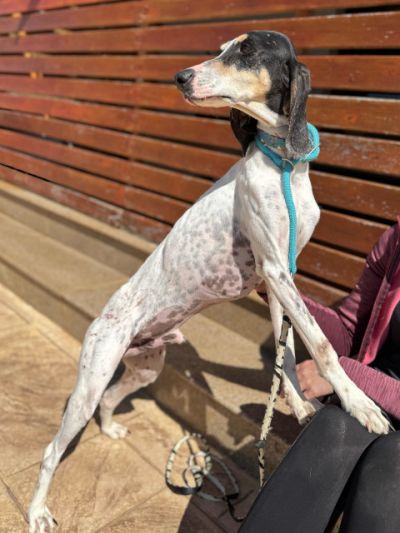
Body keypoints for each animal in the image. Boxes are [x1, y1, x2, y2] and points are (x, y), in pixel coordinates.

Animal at [28, 31, 390, 532]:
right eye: (222, 49)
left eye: (246, 51)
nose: (180, 76)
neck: (283, 164)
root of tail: (104, 317)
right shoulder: (275, 269)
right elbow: (320, 345)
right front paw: (360, 405)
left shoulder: (277, 276)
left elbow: (289, 349)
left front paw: (299, 404)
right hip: (91, 379)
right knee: (50, 451)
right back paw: (36, 511)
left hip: (143, 367)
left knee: (111, 400)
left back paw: (111, 427)